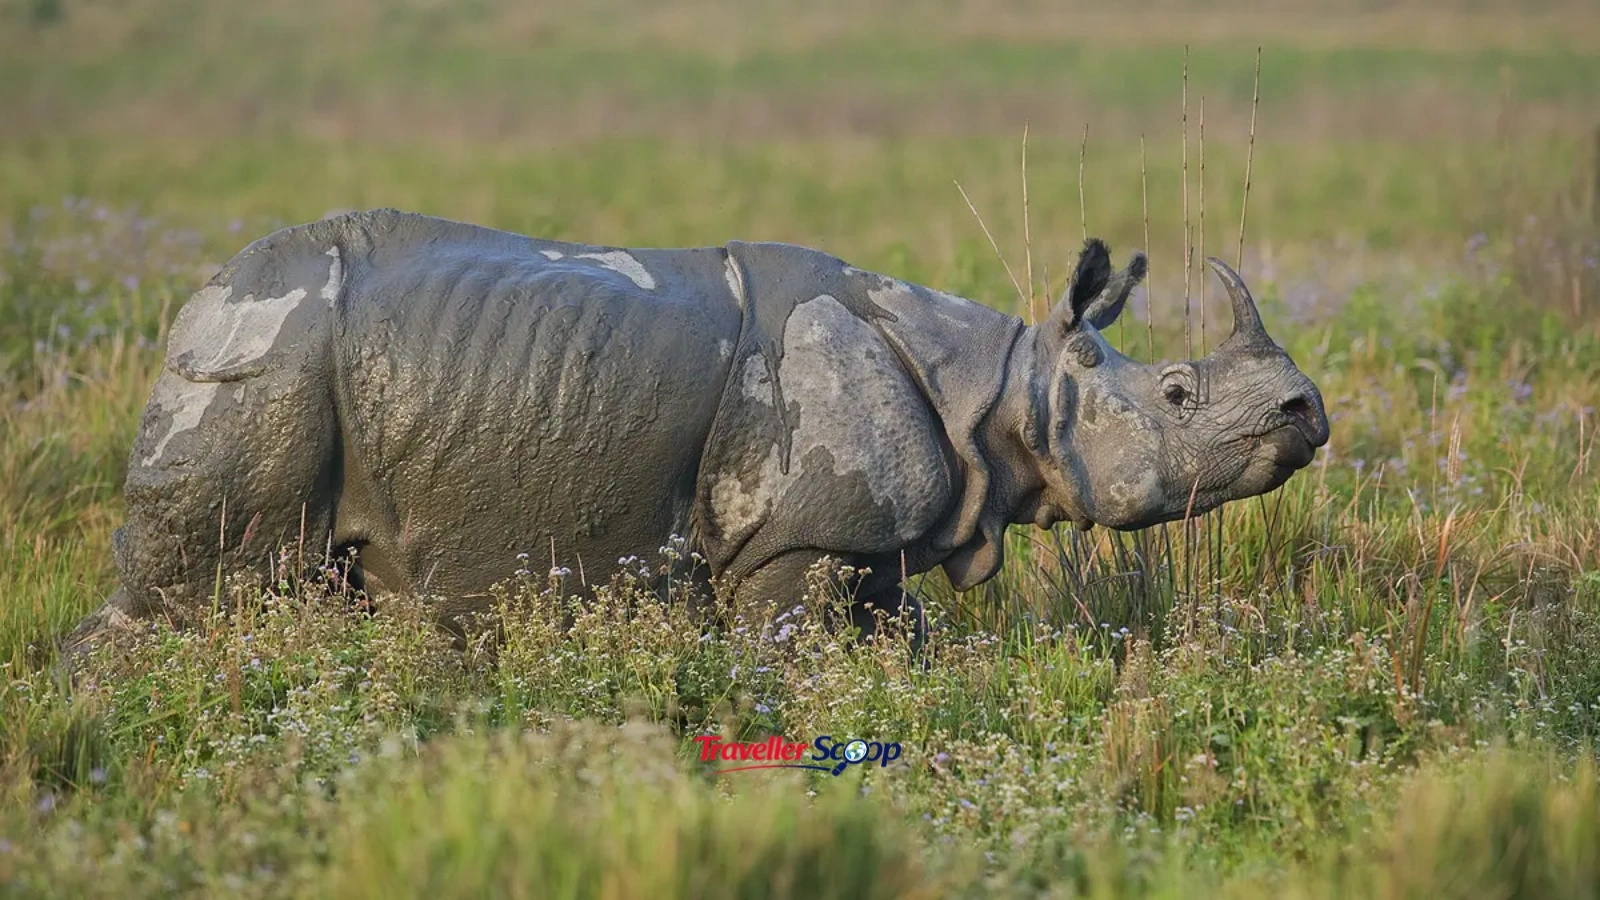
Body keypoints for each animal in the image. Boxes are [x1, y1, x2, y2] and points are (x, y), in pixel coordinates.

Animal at [63, 208, 1328, 653]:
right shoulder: (795, 539)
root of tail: (200, 295)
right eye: (1176, 394)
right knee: (207, 592)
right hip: (265, 368)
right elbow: (789, 656)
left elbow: (891, 639)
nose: (1304, 412)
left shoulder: (863, 535)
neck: (1005, 383)